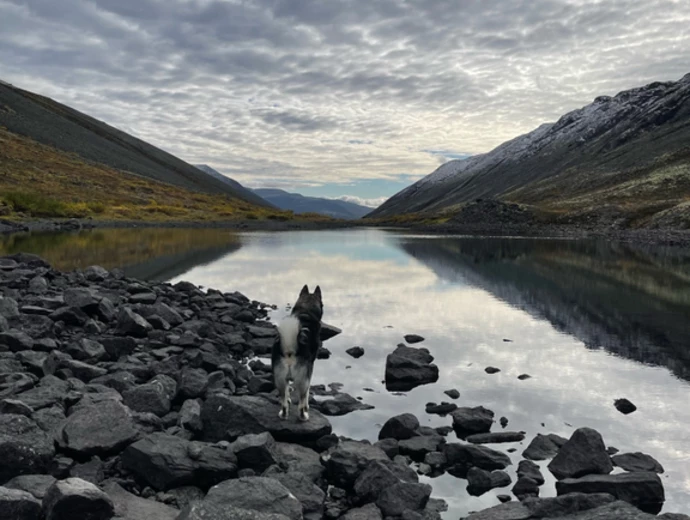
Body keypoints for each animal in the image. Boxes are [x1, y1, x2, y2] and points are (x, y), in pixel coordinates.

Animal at [270, 284, 322, 422]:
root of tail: (289, 351)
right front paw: (307, 406)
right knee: (301, 402)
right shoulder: (310, 369)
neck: (306, 309)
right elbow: (308, 392)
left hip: (279, 380)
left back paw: (283, 414)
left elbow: (288, 393)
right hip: (302, 380)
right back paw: (303, 416)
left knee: (283, 400)